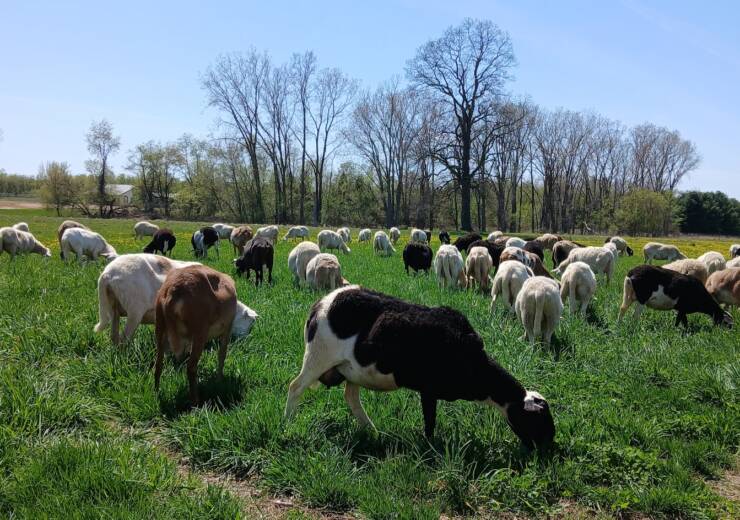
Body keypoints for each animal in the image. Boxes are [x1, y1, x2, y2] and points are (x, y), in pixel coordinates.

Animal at [154, 265, 258, 405]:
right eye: (250, 323)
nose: (246, 338)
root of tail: (173, 290)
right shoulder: (227, 329)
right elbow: (222, 355)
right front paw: (219, 380)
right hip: (199, 331)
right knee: (191, 367)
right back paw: (196, 402)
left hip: (160, 327)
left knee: (158, 364)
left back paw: (156, 393)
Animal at [284, 286, 555, 448]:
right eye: (538, 419)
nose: (548, 447)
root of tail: (321, 303)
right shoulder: (429, 388)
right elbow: (430, 421)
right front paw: (430, 448)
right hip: (319, 355)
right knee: (295, 387)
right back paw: (288, 425)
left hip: (351, 369)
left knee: (351, 397)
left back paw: (373, 432)